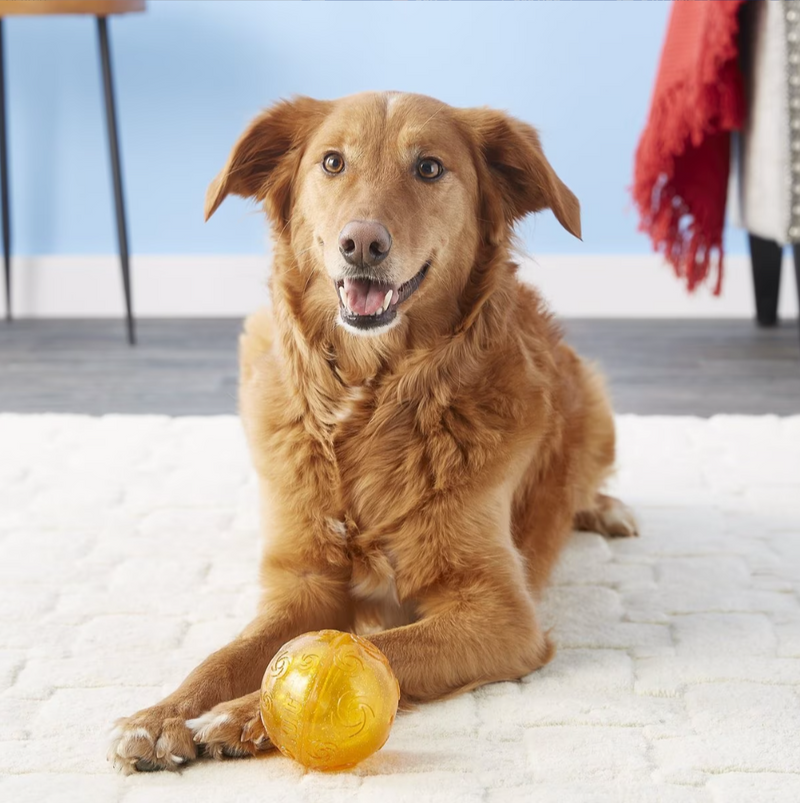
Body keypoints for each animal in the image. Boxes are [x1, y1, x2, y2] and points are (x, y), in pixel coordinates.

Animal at [108, 91, 636, 776]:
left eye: (430, 168)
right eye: (332, 162)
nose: (362, 243)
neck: (372, 404)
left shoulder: (500, 613)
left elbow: (387, 650)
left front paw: (247, 715)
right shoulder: (303, 584)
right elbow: (228, 653)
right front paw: (160, 715)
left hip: (597, 402)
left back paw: (604, 509)